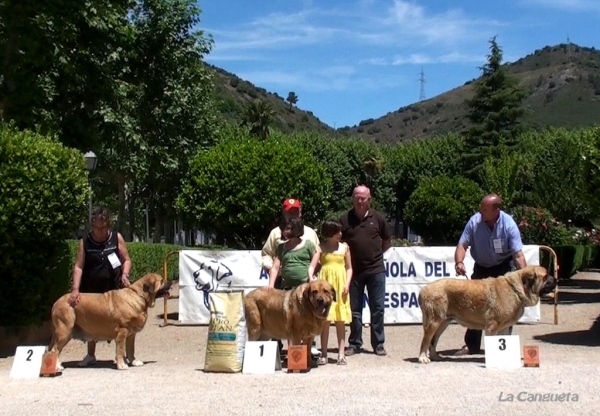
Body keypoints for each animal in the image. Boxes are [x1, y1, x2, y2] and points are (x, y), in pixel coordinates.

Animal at [420, 266, 556, 364]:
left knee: (433, 340)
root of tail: (423, 289)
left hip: (443, 323)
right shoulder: (492, 326)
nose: (556, 279)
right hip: (434, 322)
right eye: (546, 276)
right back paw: (423, 358)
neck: (516, 289)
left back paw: (435, 357)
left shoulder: (504, 327)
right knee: (426, 339)